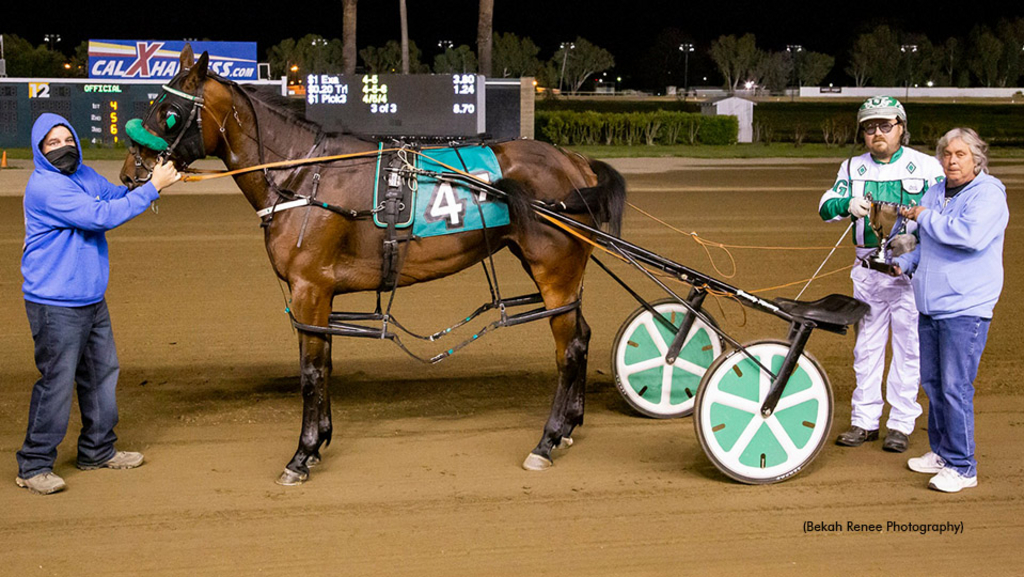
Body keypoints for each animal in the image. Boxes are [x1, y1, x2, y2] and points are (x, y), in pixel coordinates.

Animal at [122, 46, 626, 487]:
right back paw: (568, 428)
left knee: (569, 349)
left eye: (168, 111)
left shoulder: (308, 289)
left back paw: (546, 441)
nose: (132, 171)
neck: (304, 176)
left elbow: (310, 373)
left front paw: (300, 456)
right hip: (555, 273)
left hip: (555, 272)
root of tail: (575, 162)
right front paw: (318, 443)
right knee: (582, 335)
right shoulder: (319, 295)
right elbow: (323, 365)